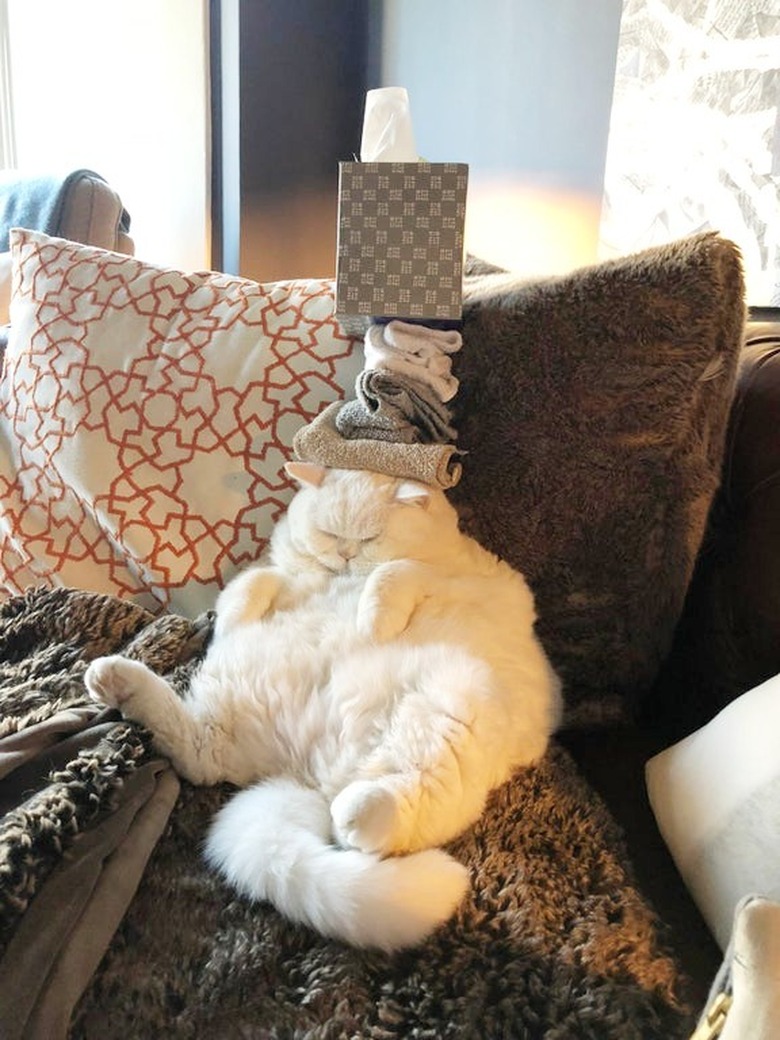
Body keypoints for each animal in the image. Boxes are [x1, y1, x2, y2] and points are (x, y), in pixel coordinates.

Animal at [85, 463, 561, 952]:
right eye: (330, 533)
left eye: (369, 537)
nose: (347, 555)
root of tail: (311, 775)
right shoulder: (269, 577)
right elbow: (250, 585)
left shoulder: (447, 578)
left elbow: (396, 572)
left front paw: (374, 622)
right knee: (198, 753)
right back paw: (113, 678)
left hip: (456, 709)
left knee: (401, 803)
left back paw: (357, 811)